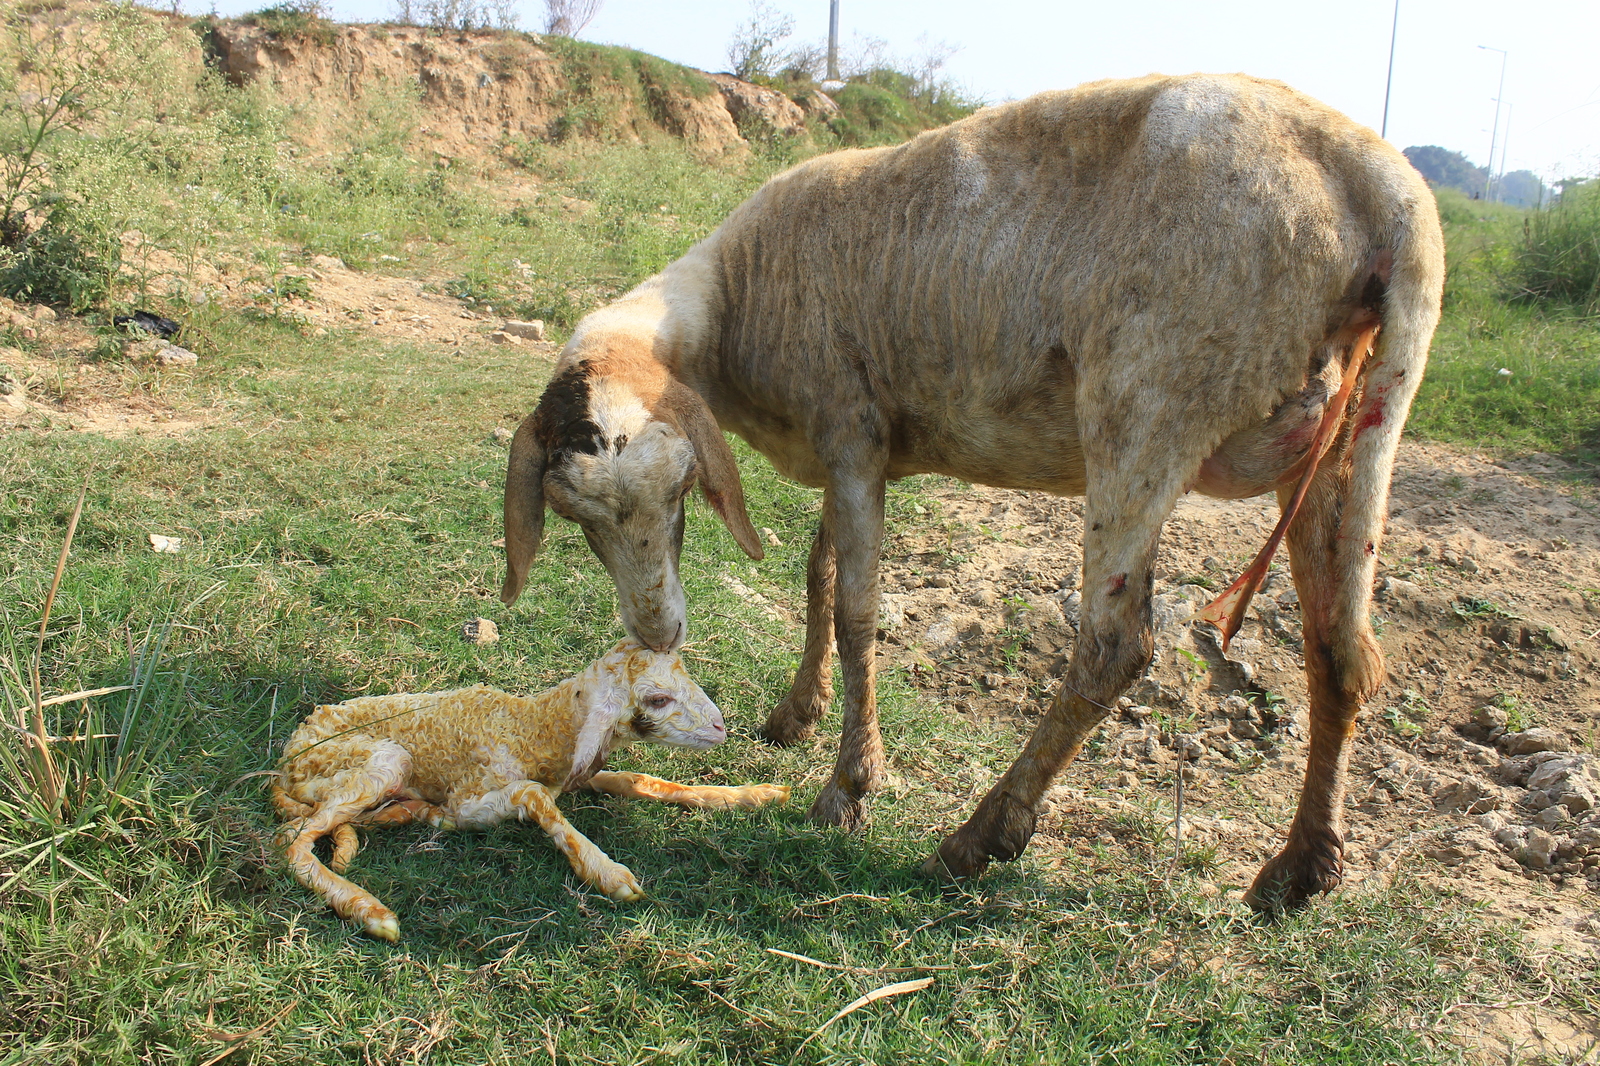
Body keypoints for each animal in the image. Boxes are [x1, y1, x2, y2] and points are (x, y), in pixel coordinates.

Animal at [499, 72, 1452, 915]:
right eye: (577, 520)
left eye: (685, 489)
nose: (658, 633)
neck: (740, 290)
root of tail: (1384, 188)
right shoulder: (857, 449)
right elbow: (818, 575)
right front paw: (797, 713)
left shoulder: (850, 427)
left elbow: (855, 611)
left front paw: (849, 786)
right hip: (1357, 426)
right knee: (1340, 650)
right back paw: (1300, 869)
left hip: (1151, 399)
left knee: (1115, 647)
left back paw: (979, 837)